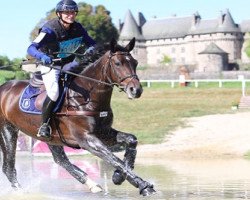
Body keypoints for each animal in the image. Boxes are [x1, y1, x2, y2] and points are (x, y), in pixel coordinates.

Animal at [0, 38, 156, 196]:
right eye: (118, 63)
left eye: (135, 62)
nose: (136, 90)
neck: (85, 96)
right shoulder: (86, 139)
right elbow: (112, 158)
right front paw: (144, 185)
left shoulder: (104, 132)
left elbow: (131, 141)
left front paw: (118, 176)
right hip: (8, 131)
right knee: (9, 167)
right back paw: (20, 191)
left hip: (51, 138)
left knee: (61, 160)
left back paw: (92, 184)